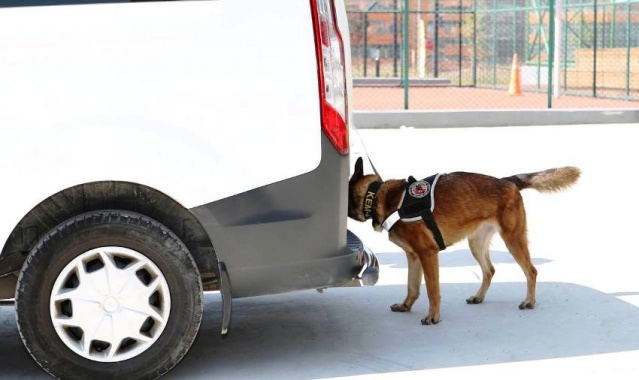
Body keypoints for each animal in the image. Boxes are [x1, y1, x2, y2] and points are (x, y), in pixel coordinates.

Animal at [350, 157, 580, 324]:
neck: (378, 196)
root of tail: (507, 180)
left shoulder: (428, 254)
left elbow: (432, 290)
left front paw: (433, 317)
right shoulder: (414, 256)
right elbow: (412, 287)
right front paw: (405, 306)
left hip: (513, 240)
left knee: (531, 271)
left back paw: (529, 301)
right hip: (476, 245)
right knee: (490, 270)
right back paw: (479, 297)